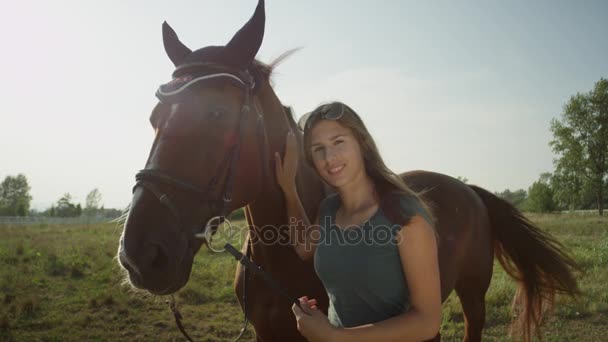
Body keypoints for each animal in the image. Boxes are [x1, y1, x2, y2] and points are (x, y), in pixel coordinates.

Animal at [117, 1, 580, 340]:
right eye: (155, 117)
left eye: (216, 113)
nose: (140, 255)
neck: (280, 257)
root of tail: (469, 191)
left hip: (473, 295)